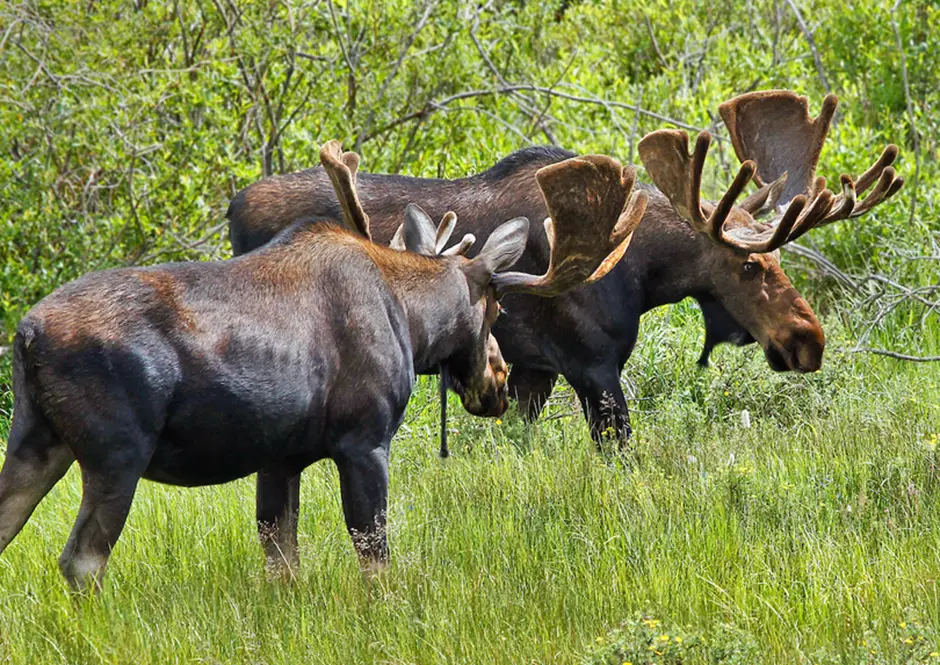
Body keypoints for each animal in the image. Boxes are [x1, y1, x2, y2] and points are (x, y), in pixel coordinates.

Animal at [0, 140, 647, 591]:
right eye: (497, 307)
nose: (500, 380)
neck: (410, 318)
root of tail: (27, 335)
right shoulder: (364, 440)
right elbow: (374, 555)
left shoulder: (279, 457)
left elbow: (281, 559)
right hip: (116, 455)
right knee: (83, 561)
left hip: (36, 440)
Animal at [227, 91, 903, 446]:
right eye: (749, 266)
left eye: (779, 258)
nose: (808, 340)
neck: (643, 274)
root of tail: (233, 206)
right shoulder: (592, 367)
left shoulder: (532, 371)